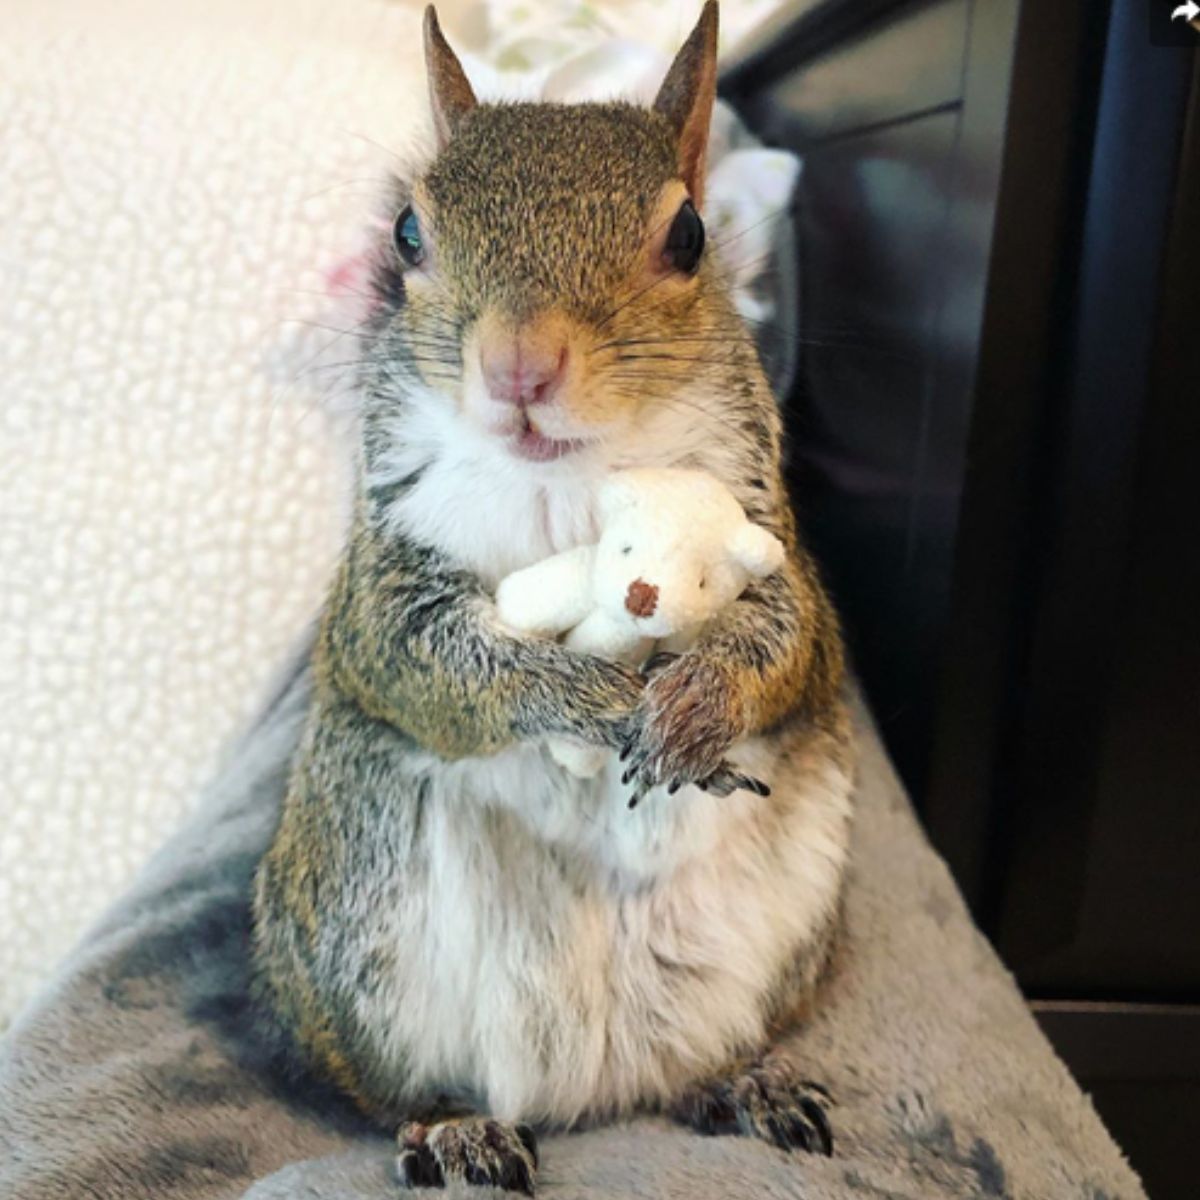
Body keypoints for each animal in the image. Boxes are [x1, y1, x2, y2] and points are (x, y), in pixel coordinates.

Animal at [250, 7, 854, 1190]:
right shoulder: (381, 585)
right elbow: (433, 663)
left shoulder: (769, 534)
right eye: (407, 233)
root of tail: (594, 1084)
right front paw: (594, 702)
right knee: (391, 1086)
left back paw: (742, 1081)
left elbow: (785, 638)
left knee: (704, 1060)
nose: (520, 368)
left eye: (690, 236)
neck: (566, 481)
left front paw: (700, 700)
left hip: (796, 912)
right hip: (352, 915)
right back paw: (452, 1126)